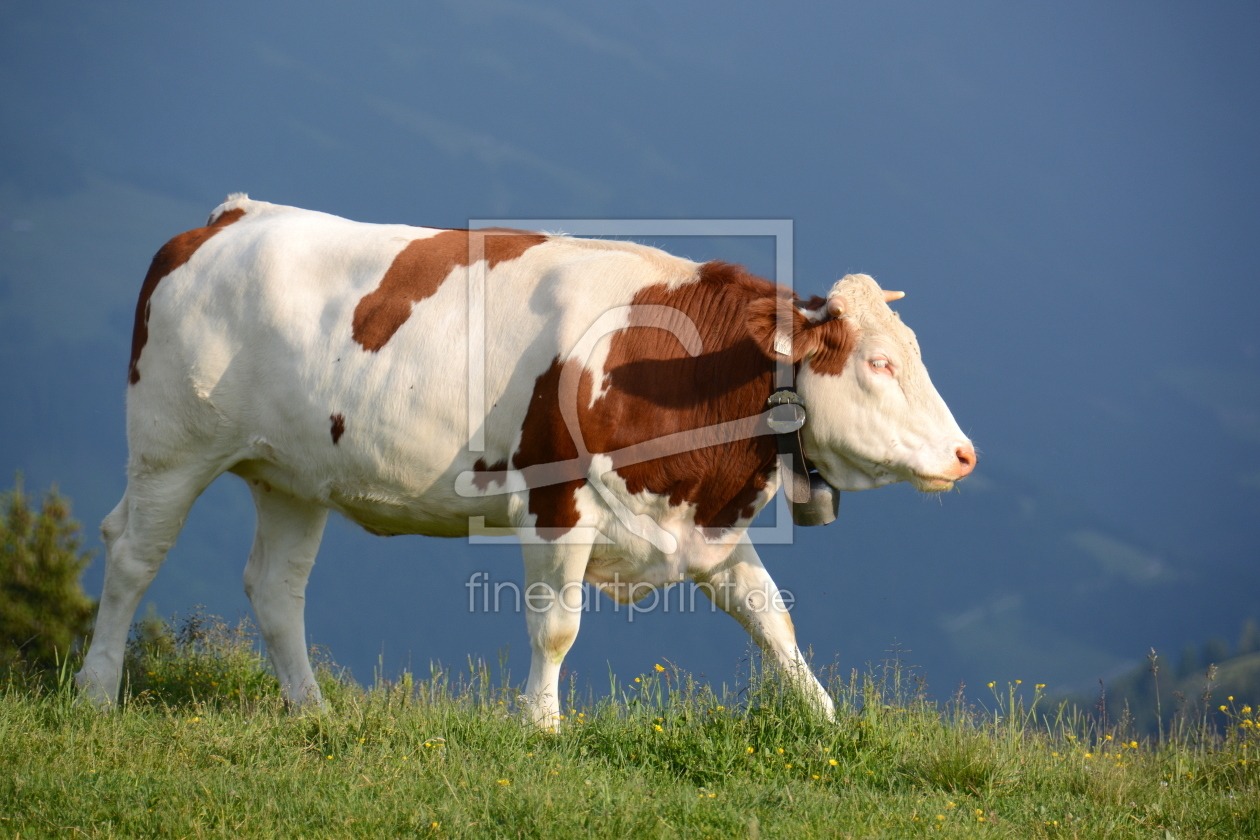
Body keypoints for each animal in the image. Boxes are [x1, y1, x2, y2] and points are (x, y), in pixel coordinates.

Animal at [73, 195, 972, 725]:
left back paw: (315, 711)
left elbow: (770, 617)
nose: (965, 455)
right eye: (879, 363)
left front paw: (825, 719)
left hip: (292, 475)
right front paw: (543, 726)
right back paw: (95, 691)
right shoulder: (559, 504)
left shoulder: (703, 524)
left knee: (276, 588)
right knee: (135, 554)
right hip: (171, 445)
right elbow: (556, 626)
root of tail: (231, 217)